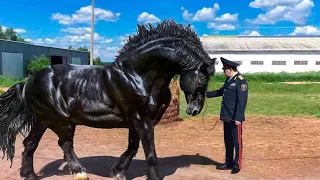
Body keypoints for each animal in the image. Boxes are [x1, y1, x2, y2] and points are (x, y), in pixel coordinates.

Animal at [0, 19, 216, 179]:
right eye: (203, 77)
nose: (194, 110)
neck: (137, 76)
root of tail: (27, 82)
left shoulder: (138, 122)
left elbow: (133, 147)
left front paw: (117, 171)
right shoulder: (142, 120)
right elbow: (150, 152)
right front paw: (151, 176)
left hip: (44, 120)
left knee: (31, 143)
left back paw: (30, 175)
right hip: (58, 120)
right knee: (64, 143)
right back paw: (79, 172)